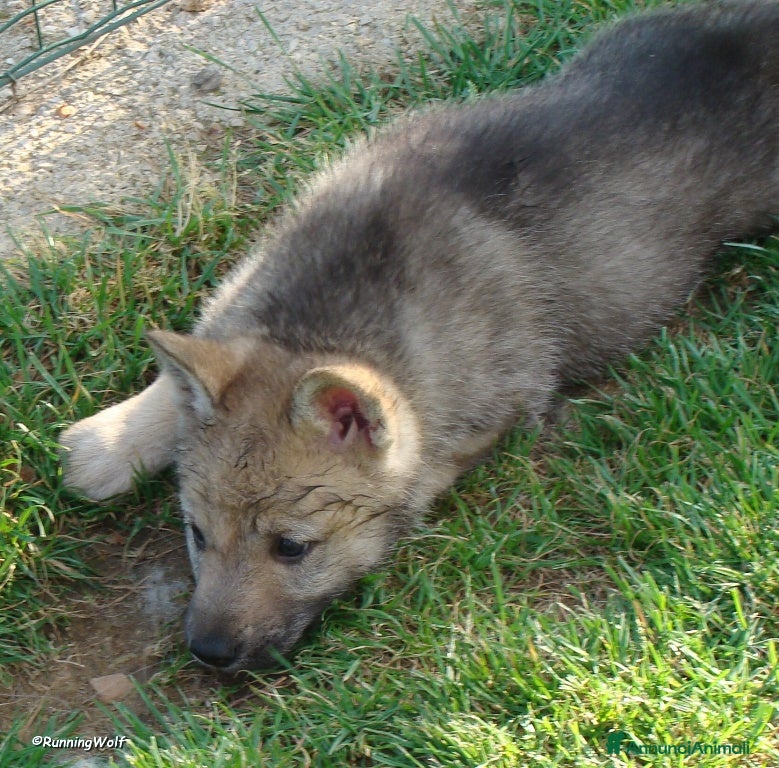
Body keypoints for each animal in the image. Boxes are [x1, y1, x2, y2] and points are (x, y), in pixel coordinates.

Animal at [61, 1, 779, 672]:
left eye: (292, 547)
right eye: (197, 533)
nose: (207, 652)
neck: (331, 312)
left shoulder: (492, 413)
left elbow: (418, 477)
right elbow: (182, 371)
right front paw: (105, 443)